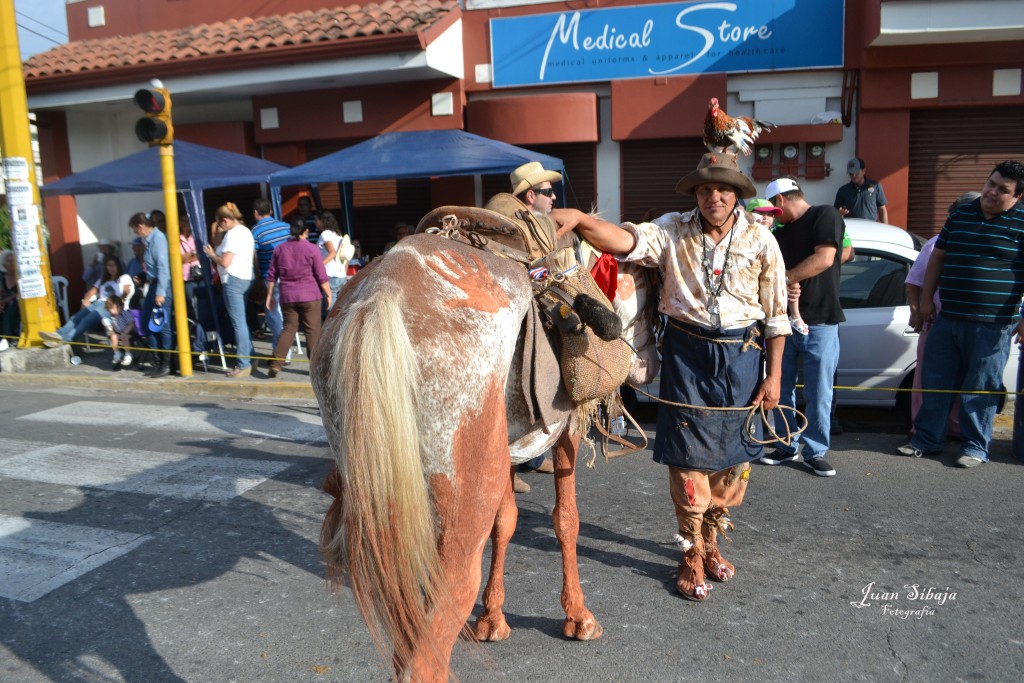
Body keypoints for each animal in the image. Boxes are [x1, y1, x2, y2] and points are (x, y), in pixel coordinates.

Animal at [311, 231, 655, 683]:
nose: (646, 366)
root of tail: (382, 292)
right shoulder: (566, 433)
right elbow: (566, 520)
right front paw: (578, 617)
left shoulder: (504, 450)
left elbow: (505, 521)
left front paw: (493, 618)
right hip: (459, 518)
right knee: (431, 648)